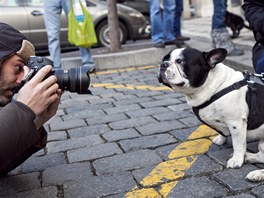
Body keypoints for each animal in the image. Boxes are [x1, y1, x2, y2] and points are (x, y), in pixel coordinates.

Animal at [158, 47, 264, 182]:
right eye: (164, 59)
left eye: (180, 61)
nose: (163, 64)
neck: (214, 87)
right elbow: (221, 132)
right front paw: (220, 139)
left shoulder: (236, 123)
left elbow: (238, 143)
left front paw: (236, 160)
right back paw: (249, 159)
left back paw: (256, 172)